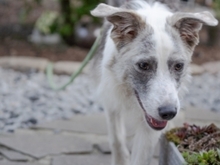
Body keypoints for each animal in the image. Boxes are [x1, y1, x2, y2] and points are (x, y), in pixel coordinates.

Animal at [90, 0, 217, 164]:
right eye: (143, 65)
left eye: (178, 66)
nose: (168, 113)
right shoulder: (111, 97)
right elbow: (116, 140)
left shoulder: (150, 127)